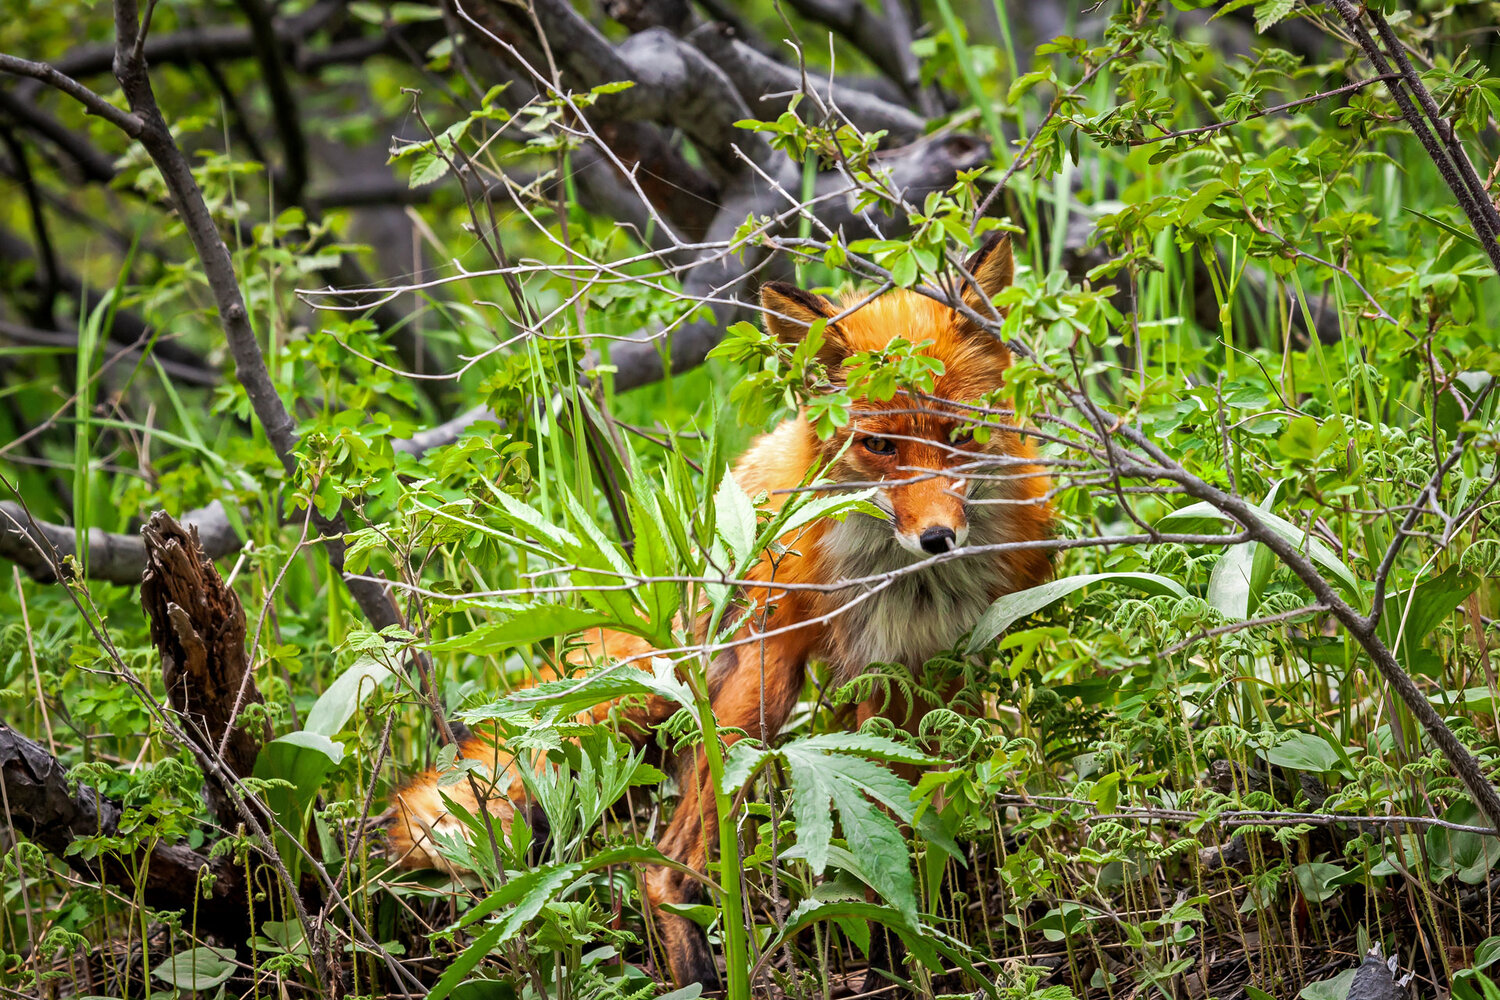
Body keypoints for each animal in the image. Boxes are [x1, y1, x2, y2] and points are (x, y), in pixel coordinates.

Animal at [385, 232, 1054, 988]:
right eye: (879, 446)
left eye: (960, 436)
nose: (939, 537)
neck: (914, 591)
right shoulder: (873, 668)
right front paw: (906, 946)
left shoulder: (938, 669)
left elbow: (923, 818)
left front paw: (927, 929)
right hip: (753, 699)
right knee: (665, 867)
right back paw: (704, 971)